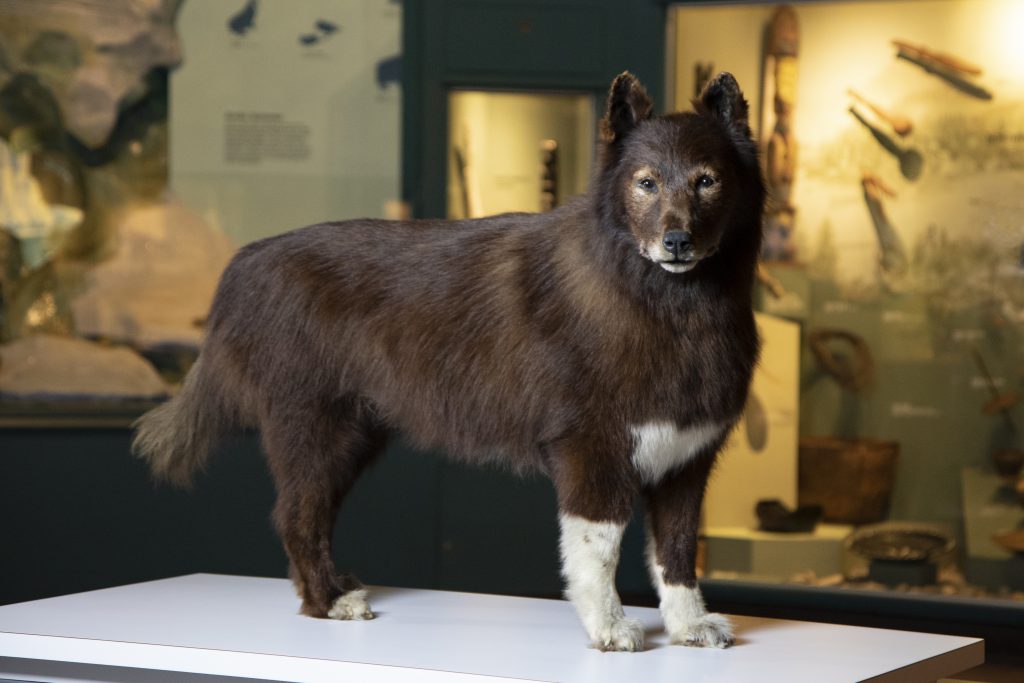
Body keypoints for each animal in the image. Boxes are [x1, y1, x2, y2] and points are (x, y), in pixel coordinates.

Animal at [132, 72, 765, 655]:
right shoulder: (592, 452)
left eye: (707, 180)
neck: (667, 306)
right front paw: (609, 629)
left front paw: (688, 626)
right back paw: (330, 601)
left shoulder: (686, 460)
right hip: (313, 433)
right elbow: (597, 551)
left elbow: (676, 552)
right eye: (646, 182)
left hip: (350, 438)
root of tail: (245, 263)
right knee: (295, 517)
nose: (676, 241)